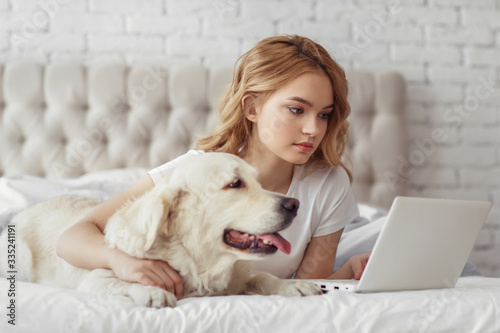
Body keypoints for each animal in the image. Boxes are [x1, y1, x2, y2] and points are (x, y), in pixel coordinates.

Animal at [0, 153, 320, 306]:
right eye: (234, 184)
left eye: (258, 181)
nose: (294, 204)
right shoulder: (95, 279)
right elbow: (125, 280)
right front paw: (151, 291)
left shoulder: (236, 280)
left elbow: (262, 276)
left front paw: (293, 285)